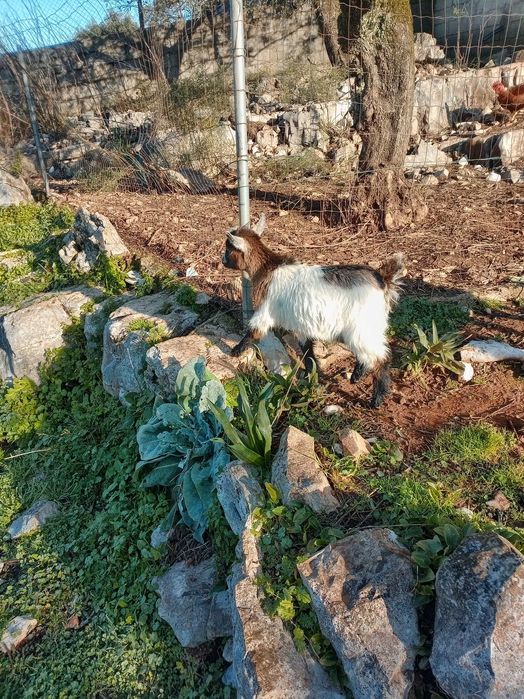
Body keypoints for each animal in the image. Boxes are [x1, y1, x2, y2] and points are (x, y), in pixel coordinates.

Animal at [222, 226, 406, 408]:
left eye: (228, 249)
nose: (222, 260)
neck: (267, 268)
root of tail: (382, 280)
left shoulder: (266, 309)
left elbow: (254, 329)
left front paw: (236, 350)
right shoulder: (301, 325)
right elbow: (307, 353)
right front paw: (311, 378)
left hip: (362, 325)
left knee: (381, 357)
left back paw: (377, 399)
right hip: (368, 327)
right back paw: (357, 375)